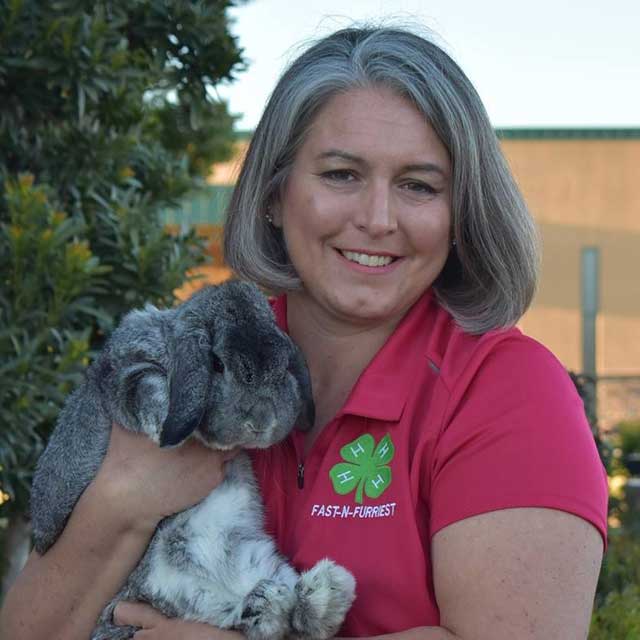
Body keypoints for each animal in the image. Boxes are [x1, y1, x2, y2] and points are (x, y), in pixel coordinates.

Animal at [30, 282, 356, 640]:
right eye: (217, 364)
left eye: (284, 368)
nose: (261, 421)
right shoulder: (127, 369)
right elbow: (146, 387)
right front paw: (162, 424)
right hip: (162, 591)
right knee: (254, 619)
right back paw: (294, 598)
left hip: (253, 561)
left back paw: (324, 592)